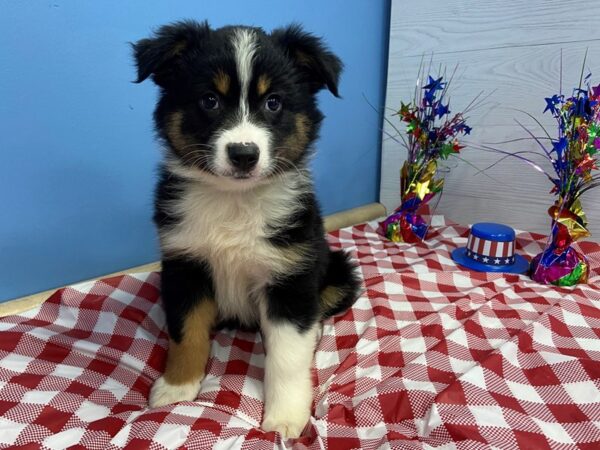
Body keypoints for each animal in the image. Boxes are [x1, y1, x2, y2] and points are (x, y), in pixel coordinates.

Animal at [134, 21, 358, 440]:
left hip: (337, 270)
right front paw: (177, 388)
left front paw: (285, 418)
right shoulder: (183, 265)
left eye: (273, 103)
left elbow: (287, 357)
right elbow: (186, 331)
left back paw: (316, 332)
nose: (243, 154)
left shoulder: (291, 275)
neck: (234, 201)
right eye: (209, 100)